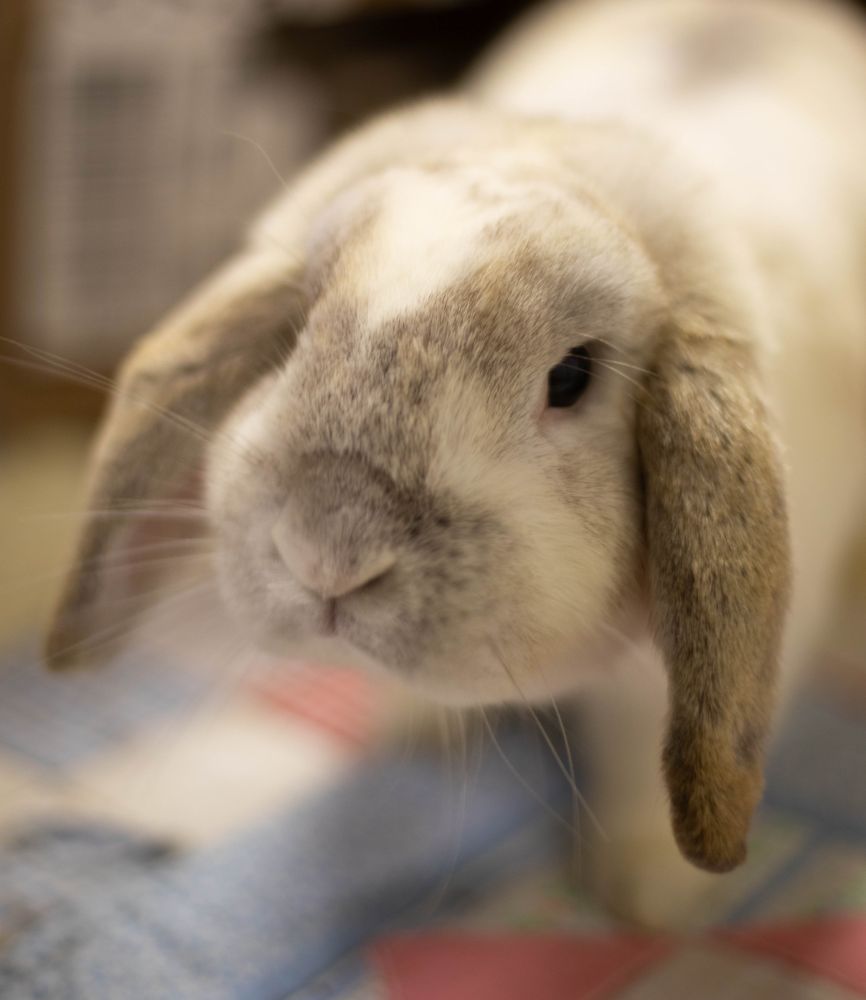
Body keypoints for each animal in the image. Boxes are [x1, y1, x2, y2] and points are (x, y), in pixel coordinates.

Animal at [45, 0, 866, 927]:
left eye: (571, 377)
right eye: (294, 333)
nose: (327, 554)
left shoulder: (663, 692)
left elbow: (637, 767)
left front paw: (646, 897)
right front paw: (415, 737)